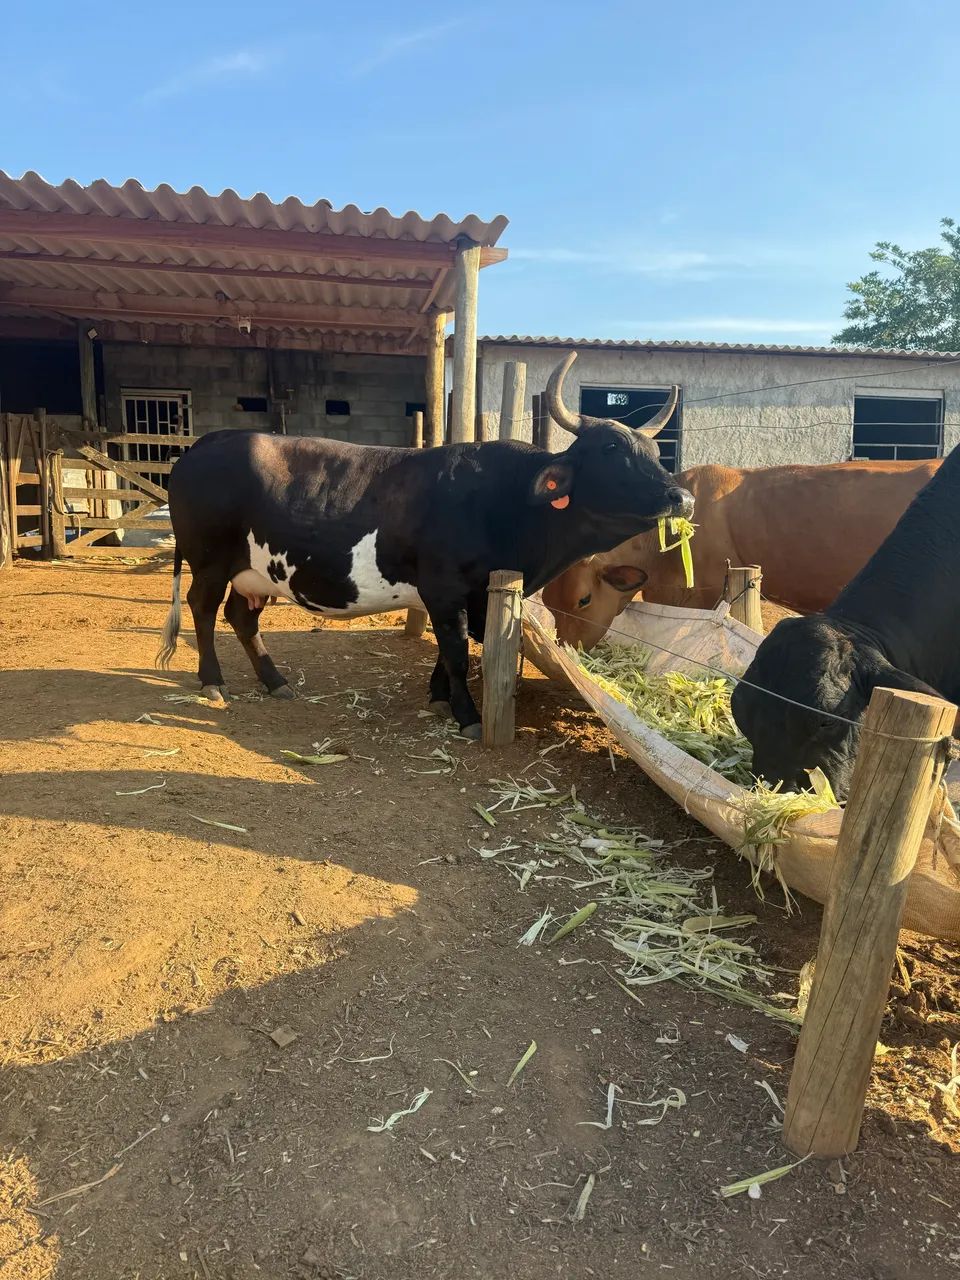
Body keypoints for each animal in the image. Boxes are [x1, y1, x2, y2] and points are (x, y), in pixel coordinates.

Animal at [155, 352, 693, 738]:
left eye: (652, 450)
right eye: (611, 450)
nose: (681, 496)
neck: (506, 502)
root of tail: (205, 444)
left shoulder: (470, 595)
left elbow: (451, 648)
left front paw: (439, 697)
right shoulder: (444, 586)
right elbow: (455, 650)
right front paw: (466, 714)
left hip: (259, 571)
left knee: (240, 618)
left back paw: (276, 682)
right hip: (209, 559)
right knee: (203, 608)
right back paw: (213, 682)